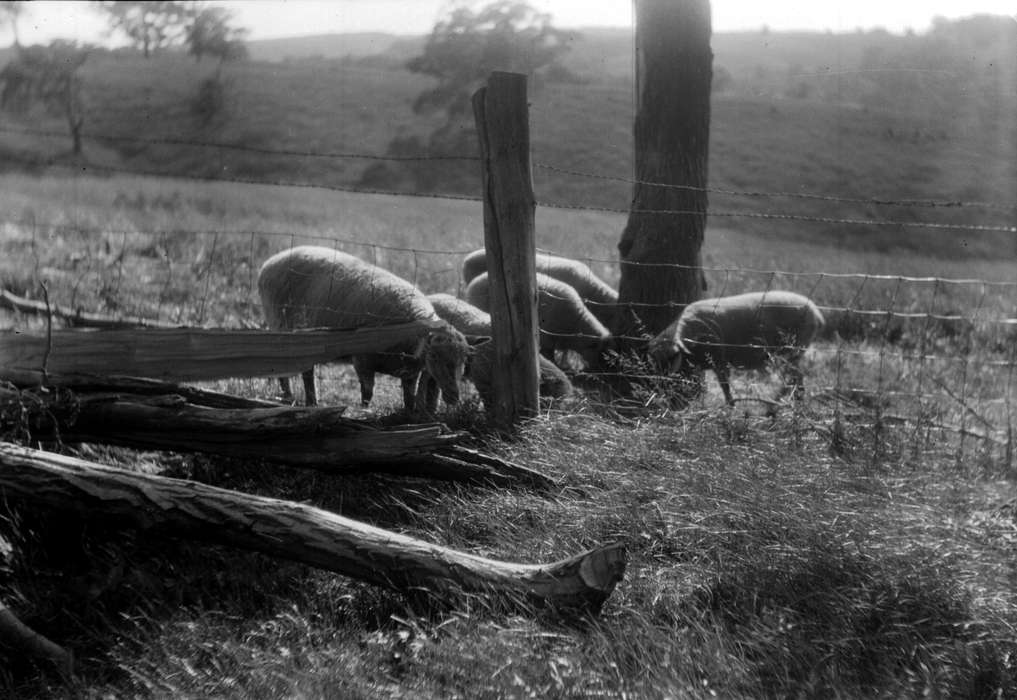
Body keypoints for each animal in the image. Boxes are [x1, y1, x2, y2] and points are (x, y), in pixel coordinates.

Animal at [254, 245, 475, 411]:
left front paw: (409, 414)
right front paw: (365, 411)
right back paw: (292, 397)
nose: (454, 397)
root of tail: (270, 261)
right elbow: (367, 393)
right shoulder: (362, 360)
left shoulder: (410, 372)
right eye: (435, 356)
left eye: (464, 359)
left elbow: (409, 396)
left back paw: (305, 401)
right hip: (283, 328)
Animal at [650, 288, 825, 406]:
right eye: (654, 362)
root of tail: (817, 313)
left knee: (796, 379)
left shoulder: (720, 360)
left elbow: (725, 386)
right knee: (795, 379)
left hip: (793, 350)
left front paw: (730, 407)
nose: (658, 391)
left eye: (670, 359)